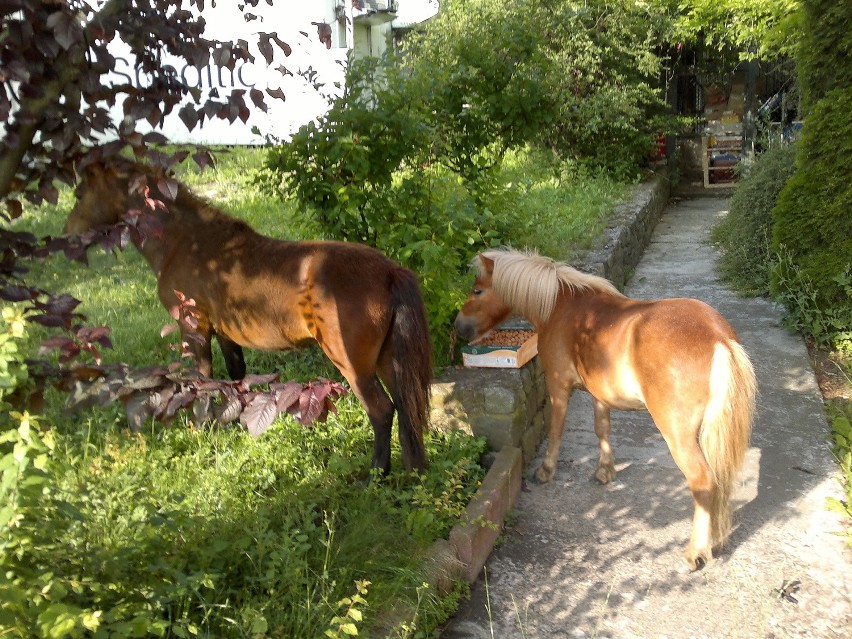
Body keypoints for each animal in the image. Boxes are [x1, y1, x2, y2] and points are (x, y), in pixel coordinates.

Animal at [65, 159, 432, 476]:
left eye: (79, 193)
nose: (69, 236)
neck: (185, 244)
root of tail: (389, 271)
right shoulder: (227, 335)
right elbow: (235, 380)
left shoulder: (194, 329)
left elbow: (201, 379)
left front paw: (201, 431)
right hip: (386, 360)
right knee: (406, 408)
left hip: (353, 365)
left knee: (382, 411)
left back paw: (375, 475)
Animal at [456, 249, 756, 568]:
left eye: (477, 290)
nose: (458, 326)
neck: (562, 307)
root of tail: (718, 338)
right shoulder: (599, 394)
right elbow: (602, 429)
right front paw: (605, 472)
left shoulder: (558, 386)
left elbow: (556, 430)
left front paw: (546, 471)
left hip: (678, 434)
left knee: (703, 481)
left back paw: (695, 551)